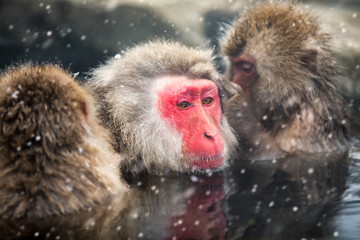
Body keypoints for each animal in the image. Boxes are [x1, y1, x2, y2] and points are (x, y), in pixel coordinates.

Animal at [221, 1, 352, 154]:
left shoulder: (308, 122)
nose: (233, 81)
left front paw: (241, 115)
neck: (290, 108)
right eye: (234, 64)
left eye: (246, 67)